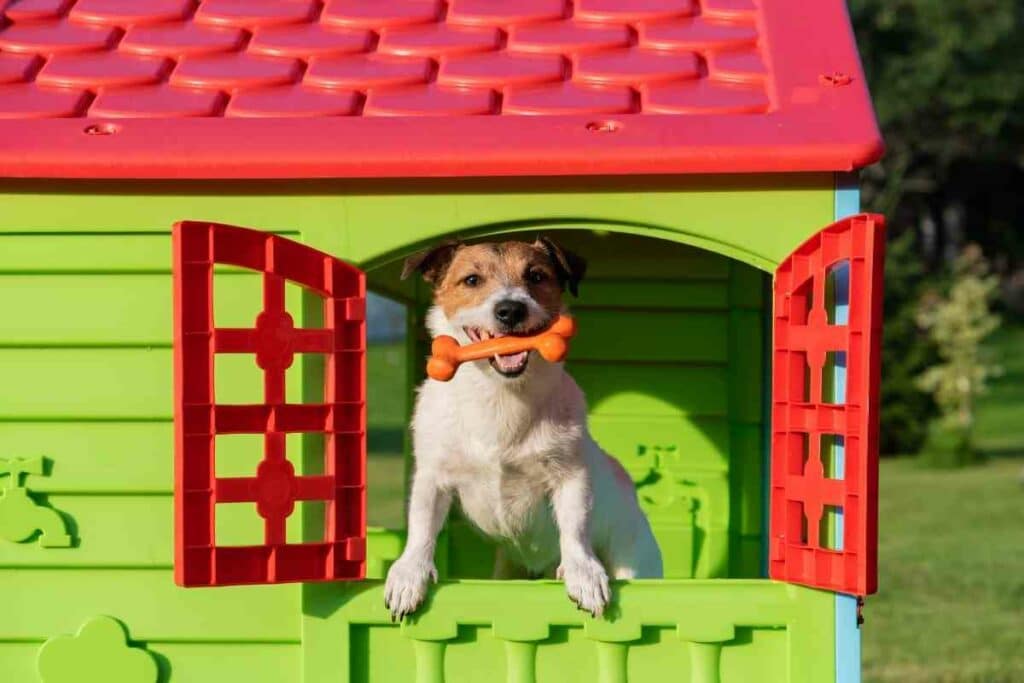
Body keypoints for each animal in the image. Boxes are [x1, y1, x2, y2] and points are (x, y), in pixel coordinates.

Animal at [385, 237, 663, 622]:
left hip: (633, 558)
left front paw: (583, 573)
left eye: (536, 276)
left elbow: (575, 528)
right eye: (472, 280)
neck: (501, 397)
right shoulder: (432, 478)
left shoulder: (570, 476)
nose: (511, 310)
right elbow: (421, 526)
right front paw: (409, 573)